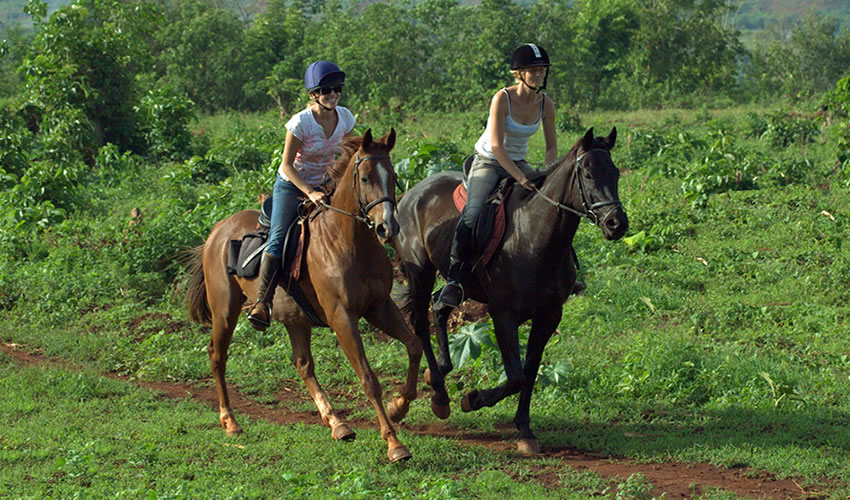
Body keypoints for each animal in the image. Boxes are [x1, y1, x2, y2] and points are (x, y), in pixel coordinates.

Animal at [187, 128, 422, 460]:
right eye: (364, 178)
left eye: (393, 176)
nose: (386, 228)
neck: (349, 242)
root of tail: (217, 231)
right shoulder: (341, 317)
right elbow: (368, 377)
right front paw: (394, 442)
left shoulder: (379, 307)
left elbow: (414, 346)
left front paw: (398, 406)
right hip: (224, 310)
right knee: (217, 355)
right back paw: (230, 422)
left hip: (295, 319)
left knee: (303, 364)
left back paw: (337, 423)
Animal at [394, 128, 628, 454]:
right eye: (589, 174)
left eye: (616, 173)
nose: (617, 224)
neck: (535, 235)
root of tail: (410, 193)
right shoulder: (503, 313)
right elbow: (515, 376)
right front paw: (473, 399)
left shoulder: (549, 316)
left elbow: (529, 371)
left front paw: (525, 429)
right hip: (420, 272)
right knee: (420, 322)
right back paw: (438, 395)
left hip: (456, 281)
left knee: (439, 305)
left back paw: (438, 369)